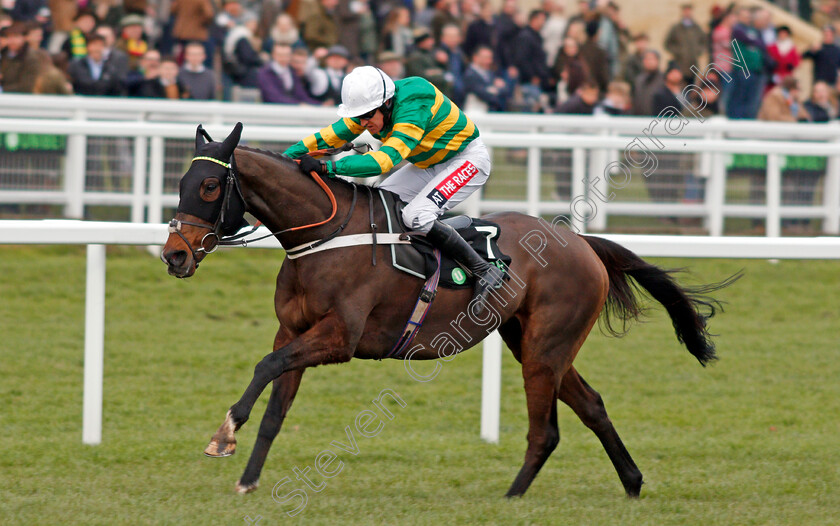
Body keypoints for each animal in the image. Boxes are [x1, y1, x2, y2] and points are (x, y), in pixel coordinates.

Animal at [162, 122, 736, 500]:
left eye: (210, 186)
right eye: (181, 184)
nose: (175, 254)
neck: (325, 235)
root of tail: (582, 243)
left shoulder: (340, 337)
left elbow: (265, 368)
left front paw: (225, 432)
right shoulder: (293, 331)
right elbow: (276, 404)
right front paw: (248, 477)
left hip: (544, 348)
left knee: (545, 429)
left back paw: (512, 498)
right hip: (533, 341)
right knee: (591, 406)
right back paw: (632, 484)